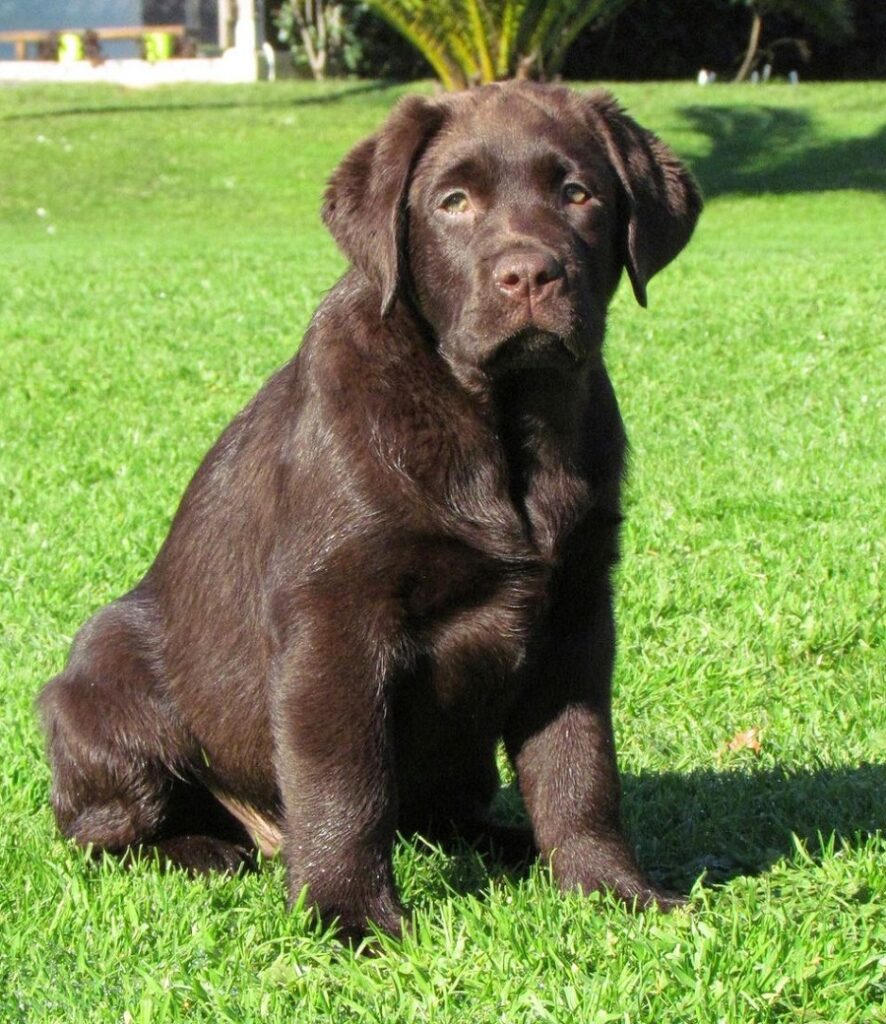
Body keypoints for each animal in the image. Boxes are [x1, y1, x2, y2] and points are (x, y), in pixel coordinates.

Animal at [37, 83, 700, 937]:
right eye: (453, 203)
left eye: (578, 194)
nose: (528, 275)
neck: (504, 421)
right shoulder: (336, 618)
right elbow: (344, 780)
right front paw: (346, 916)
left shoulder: (577, 616)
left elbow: (580, 768)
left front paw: (612, 890)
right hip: (102, 687)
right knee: (104, 834)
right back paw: (207, 850)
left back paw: (508, 845)